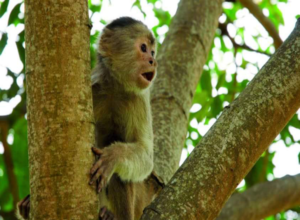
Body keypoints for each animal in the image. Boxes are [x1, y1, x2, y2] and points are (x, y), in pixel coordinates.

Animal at [17, 16, 159, 220]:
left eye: (153, 52)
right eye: (143, 48)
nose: (153, 61)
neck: (115, 86)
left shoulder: (139, 99)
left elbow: (146, 157)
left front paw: (113, 156)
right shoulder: (94, 86)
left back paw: (110, 214)